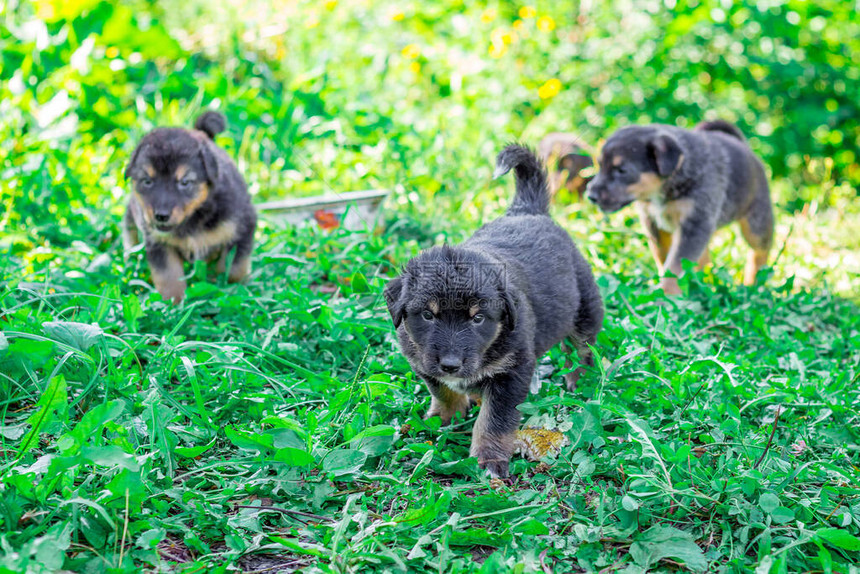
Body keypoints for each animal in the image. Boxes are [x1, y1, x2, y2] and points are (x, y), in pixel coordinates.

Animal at [122, 109, 255, 304]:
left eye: (185, 182)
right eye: (147, 181)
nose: (161, 216)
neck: (195, 217)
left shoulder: (243, 228)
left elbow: (233, 269)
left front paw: (228, 289)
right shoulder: (158, 242)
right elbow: (169, 277)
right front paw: (172, 305)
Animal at [384, 145, 604, 482]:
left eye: (478, 318)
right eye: (428, 316)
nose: (450, 365)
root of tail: (528, 210)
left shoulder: (511, 373)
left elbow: (494, 419)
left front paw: (489, 460)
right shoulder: (421, 359)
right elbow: (441, 390)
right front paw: (444, 418)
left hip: (585, 309)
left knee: (582, 349)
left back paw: (576, 379)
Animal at [584, 119, 772, 294]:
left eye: (622, 170)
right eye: (600, 165)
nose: (591, 196)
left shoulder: (695, 224)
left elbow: (675, 264)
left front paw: (666, 294)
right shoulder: (654, 223)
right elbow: (664, 257)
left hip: (756, 224)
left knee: (760, 252)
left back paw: (753, 283)